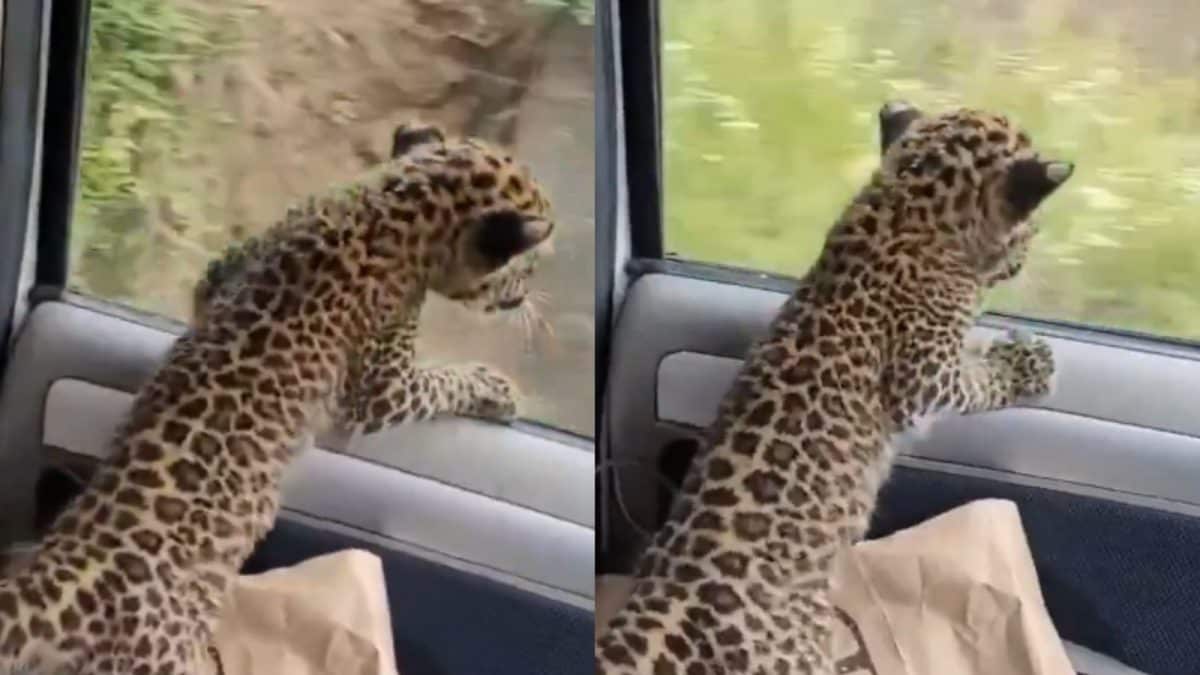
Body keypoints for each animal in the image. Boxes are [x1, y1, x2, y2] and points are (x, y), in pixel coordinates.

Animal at [0, 121, 555, 675]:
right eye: (526, 269)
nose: (529, 297)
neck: (401, 202)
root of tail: (62, 578)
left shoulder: (220, 271)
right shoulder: (384, 390)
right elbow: (445, 381)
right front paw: (499, 387)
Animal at [595, 100, 1073, 675]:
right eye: (1033, 226)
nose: (1025, 256)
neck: (906, 202)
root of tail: (671, 600)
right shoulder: (924, 374)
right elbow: (978, 381)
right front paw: (1030, 362)